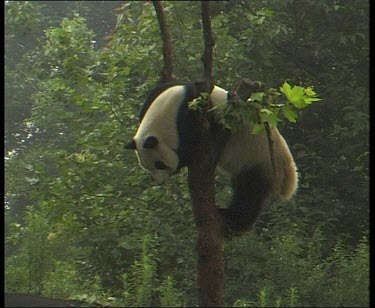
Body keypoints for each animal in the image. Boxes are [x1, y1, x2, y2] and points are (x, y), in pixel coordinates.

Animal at [126, 82, 300, 233]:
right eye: (147, 166)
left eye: (160, 164)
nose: (158, 181)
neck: (168, 109)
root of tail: (288, 170)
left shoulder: (198, 115)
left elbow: (193, 146)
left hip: (261, 161)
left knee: (250, 193)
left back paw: (233, 222)